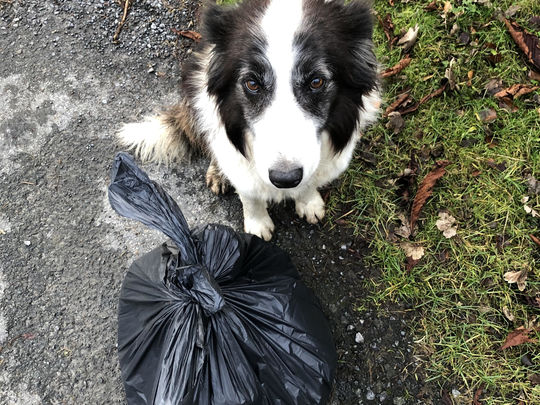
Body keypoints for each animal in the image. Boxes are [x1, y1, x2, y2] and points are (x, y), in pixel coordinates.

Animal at [118, 0, 380, 240]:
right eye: (252, 84)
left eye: (316, 81)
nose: (285, 179)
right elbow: (249, 195)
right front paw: (258, 224)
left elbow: (308, 181)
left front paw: (308, 201)